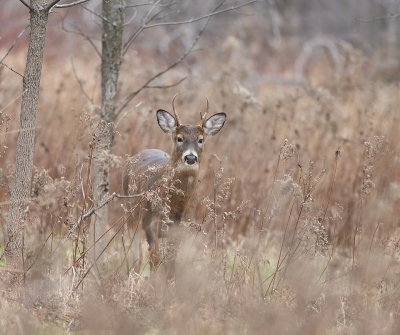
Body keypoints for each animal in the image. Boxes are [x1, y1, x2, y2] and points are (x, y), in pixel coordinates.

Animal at [122, 96, 227, 276]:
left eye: (201, 139)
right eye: (179, 138)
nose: (190, 157)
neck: (175, 206)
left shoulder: (180, 228)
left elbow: (171, 261)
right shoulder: (149, 221)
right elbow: (155, 257)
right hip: (132, 212)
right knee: (137, 253)